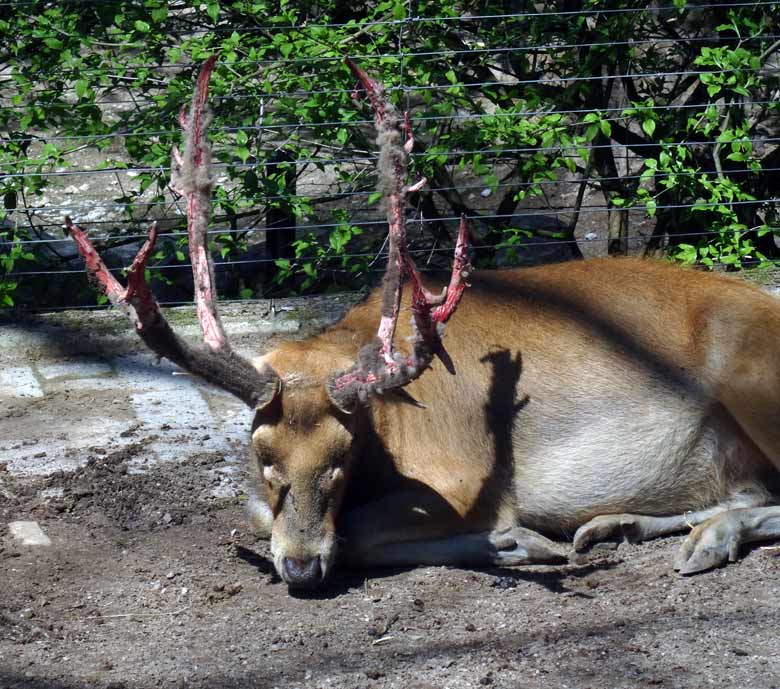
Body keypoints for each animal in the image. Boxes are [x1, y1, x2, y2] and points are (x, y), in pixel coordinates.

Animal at [67, 56, 780, 588]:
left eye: (341, 458)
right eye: (261, 454)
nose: (300, 567)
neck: (389, 429)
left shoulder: (463, 474)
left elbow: (359, 533)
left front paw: (517, 540)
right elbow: (256, 515)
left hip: (752, 378)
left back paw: (697, 539)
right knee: (748, 489)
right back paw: (624, 526)